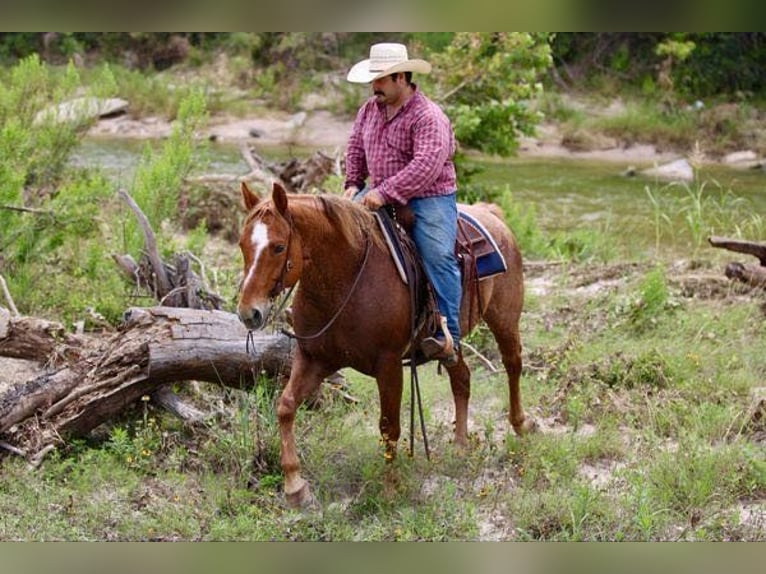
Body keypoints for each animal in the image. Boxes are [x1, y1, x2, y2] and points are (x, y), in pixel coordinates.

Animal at [237, 181, 536, 507]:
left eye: (278, 247)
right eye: (242, 245)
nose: (249, 313)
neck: (346, 280)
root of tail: (491, 214)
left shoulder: (389, 365)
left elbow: (389, 425)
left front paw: (390, 488)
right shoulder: (313, 357)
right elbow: (286, 406)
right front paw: (295, 486)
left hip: (504, 317)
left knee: (512, 364)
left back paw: (521, 424)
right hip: (451, 344)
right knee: (462, 378)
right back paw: (459, 444)